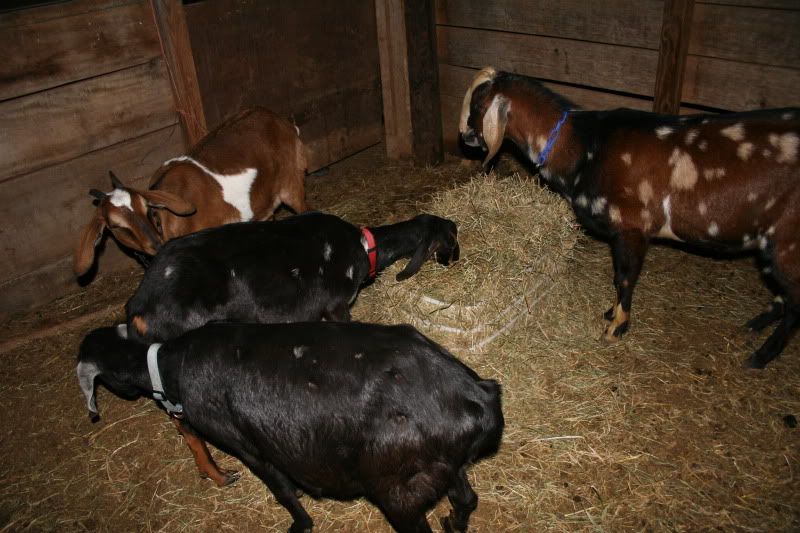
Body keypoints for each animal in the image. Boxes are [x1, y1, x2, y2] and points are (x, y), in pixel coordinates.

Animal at [74, 107, 308, 276]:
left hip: (291, 182)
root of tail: (280, 119)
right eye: (115, 226)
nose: (155, 244)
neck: (168, 219)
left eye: (147, 208)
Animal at [77, 322, 503, 532]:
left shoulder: (247, 446)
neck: (169, 364)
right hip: (442, 467)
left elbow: (281, 490)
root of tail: (476, 398)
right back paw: (453, 523)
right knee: (466, 500)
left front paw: (300, 524)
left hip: (399, 487)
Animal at [460, 67, 800, 368]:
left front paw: (615, 328)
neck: (584, 147)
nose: (463, 137)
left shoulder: (631, 226)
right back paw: (756, 324)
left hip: (787, 243)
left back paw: (760, 357)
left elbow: (624, 277)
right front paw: (611, 314)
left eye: (477, 105)